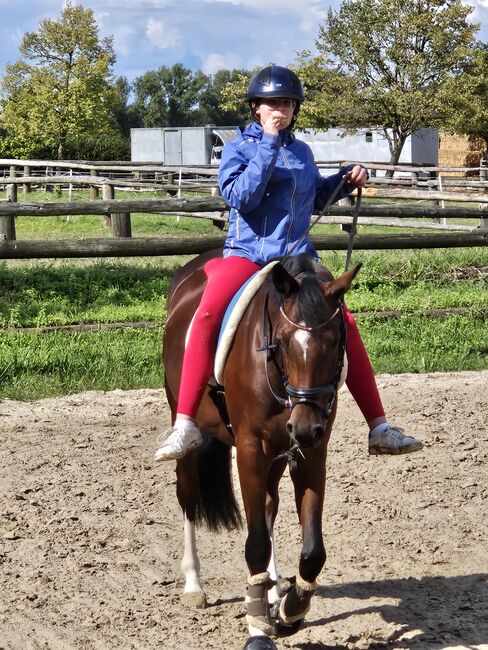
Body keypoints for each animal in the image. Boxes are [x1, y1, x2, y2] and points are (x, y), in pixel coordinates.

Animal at [163, 249, 358, 648]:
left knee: (268, 505)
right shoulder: (251, 448)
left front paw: (290, 609)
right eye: (281, 340)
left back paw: (270, 593)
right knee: (188, 494)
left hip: (278, 453)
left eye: (334, 341)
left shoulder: (311, 451)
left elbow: (312, 551)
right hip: (186, 422)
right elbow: (254, 544)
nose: (304, 426)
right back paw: (194, 584)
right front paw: (257, 627)